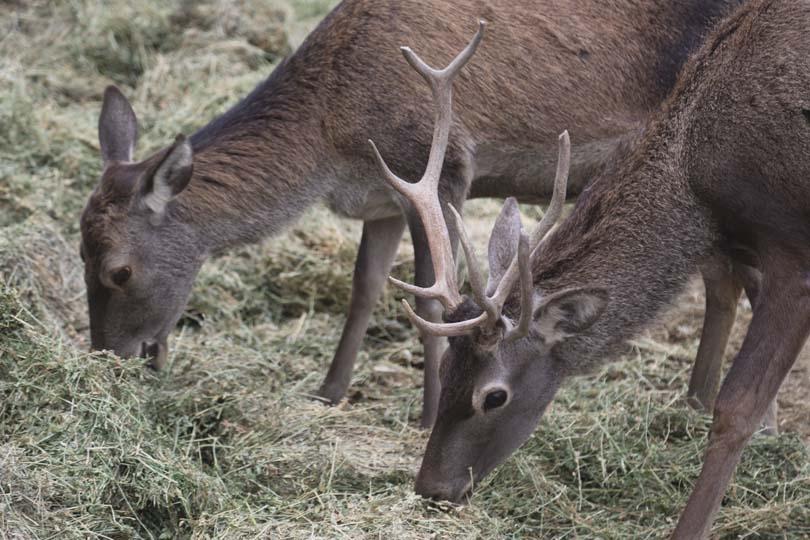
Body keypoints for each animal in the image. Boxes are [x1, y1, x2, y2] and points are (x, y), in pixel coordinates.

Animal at [79, 1, 740, 430]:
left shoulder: (438, 169)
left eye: (118, 271)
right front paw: (328, 394)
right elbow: (365, 288)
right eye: (80, 255)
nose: (106, 359)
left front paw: (426, 415)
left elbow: (431, 303)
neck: (330, 138)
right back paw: (696, 404)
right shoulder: (384, 197)